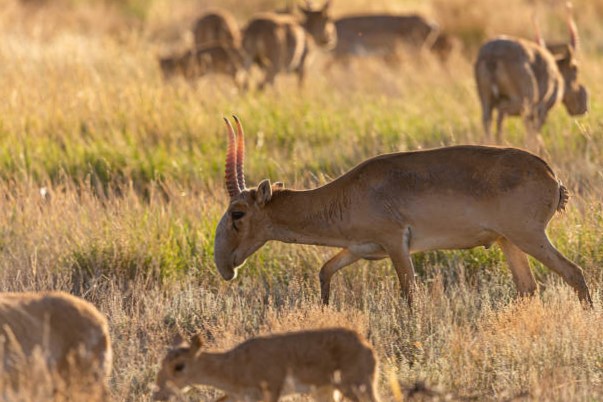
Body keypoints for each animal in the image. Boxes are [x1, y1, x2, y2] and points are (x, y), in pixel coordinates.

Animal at [153, 328, 380, 400]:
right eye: (162, 363)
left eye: (179, 366)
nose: (159, 393)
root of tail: (368, 347)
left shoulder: (270, 392)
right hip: (326, 392)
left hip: (357, 386)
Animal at [214, 117, 596, 308]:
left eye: (237, 213)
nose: (225, 267)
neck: (347, 192)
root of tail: (551, 174)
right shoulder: (358, 249)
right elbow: (325, 271)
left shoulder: (397, 245)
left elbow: (410, 294)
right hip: (508, 242)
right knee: (528, 288)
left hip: (529, 237)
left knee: (574, 273)